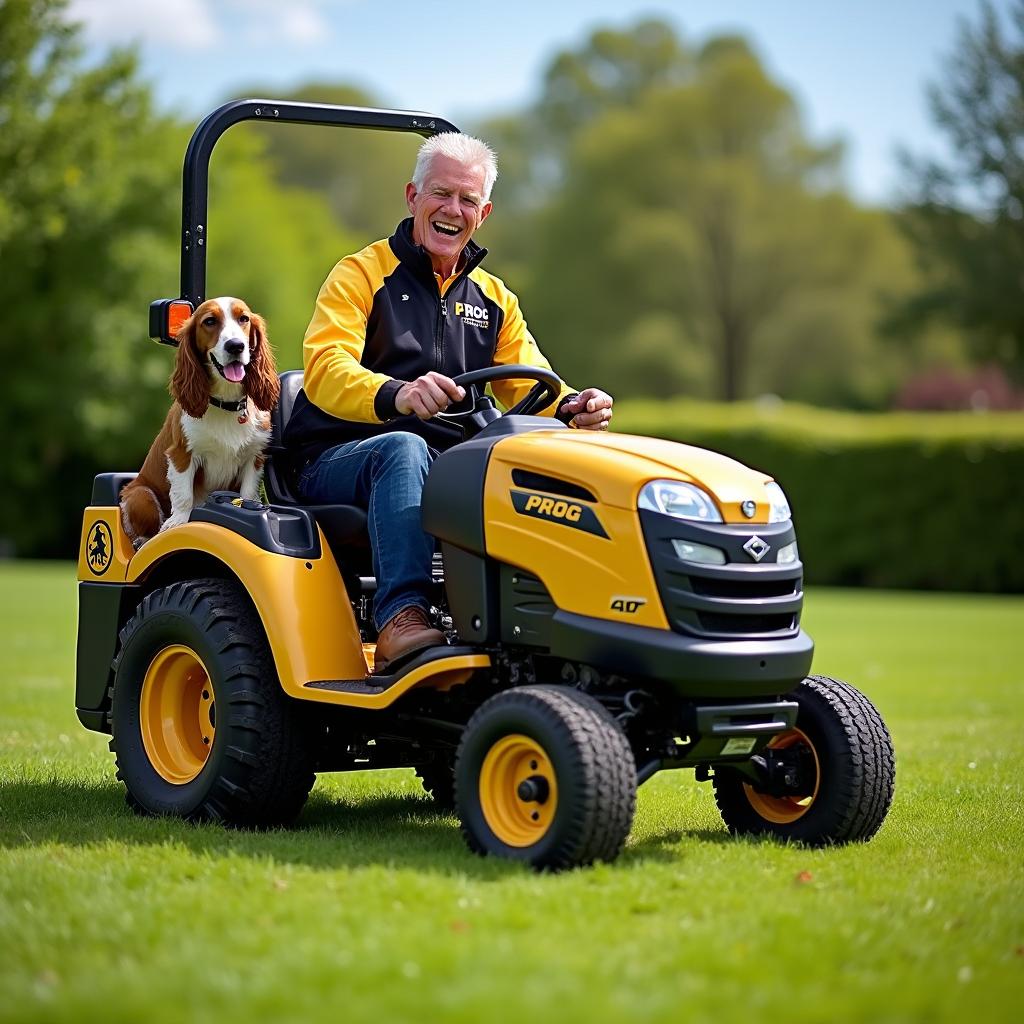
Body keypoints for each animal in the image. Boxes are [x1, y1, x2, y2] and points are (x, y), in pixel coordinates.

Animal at [119, 296, 280, 548]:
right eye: (210, 321)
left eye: (244, 318)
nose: (236, 345)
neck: (225, 403)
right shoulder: (182, 453)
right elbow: (184, 494)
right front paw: (177, 523)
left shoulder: (254, 457)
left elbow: (247, 494)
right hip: (139, 495)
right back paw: (143, 541)